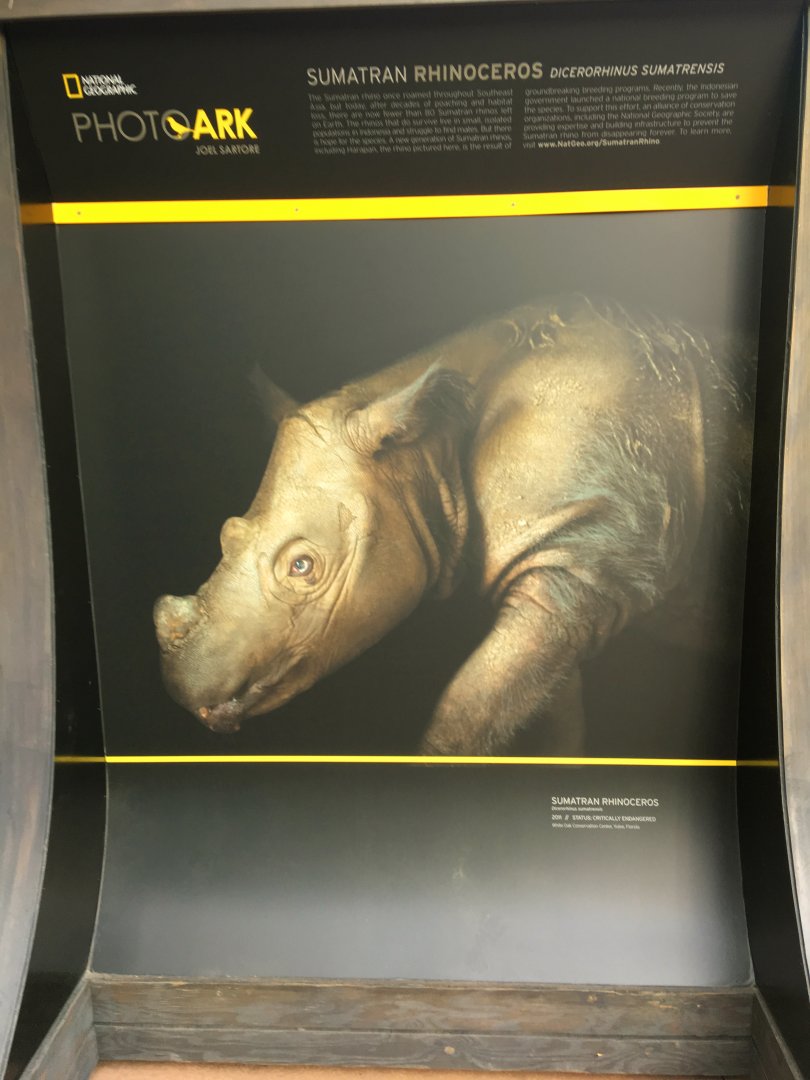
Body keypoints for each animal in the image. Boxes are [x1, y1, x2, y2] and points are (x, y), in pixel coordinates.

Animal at [154, 294, 749, 754]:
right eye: (225, 535)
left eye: (303, 566)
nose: (183, 689)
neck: (425, 447)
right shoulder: (562, 568)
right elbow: (542, 713)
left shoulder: (579, 554)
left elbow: (464, 713)